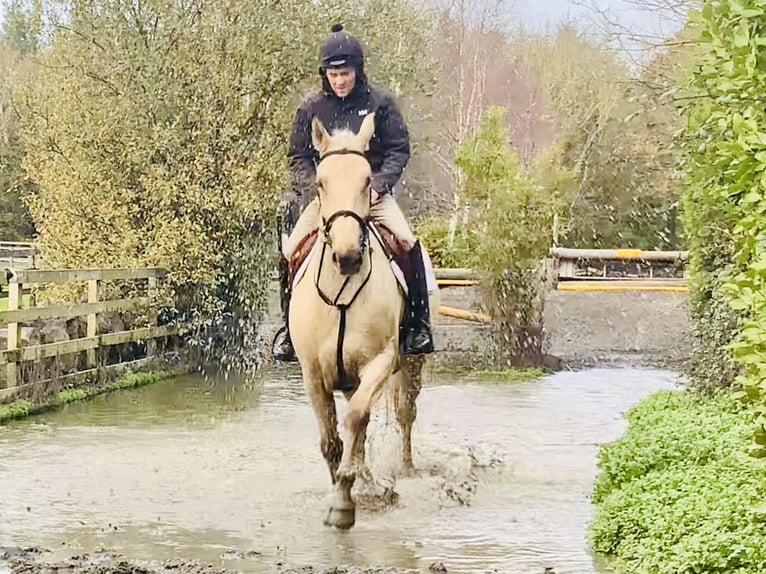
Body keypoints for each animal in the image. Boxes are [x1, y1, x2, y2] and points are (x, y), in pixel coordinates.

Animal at [288, 113, 433, 529]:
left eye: (368, 180)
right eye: (321, 182)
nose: (348, 257)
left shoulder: (380, 363)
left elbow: (354, 423)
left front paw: (345, 501)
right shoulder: (313, 373)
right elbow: (332, 440)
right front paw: (348, 488)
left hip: (409, 367)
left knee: (403, 414)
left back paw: (403, 471)